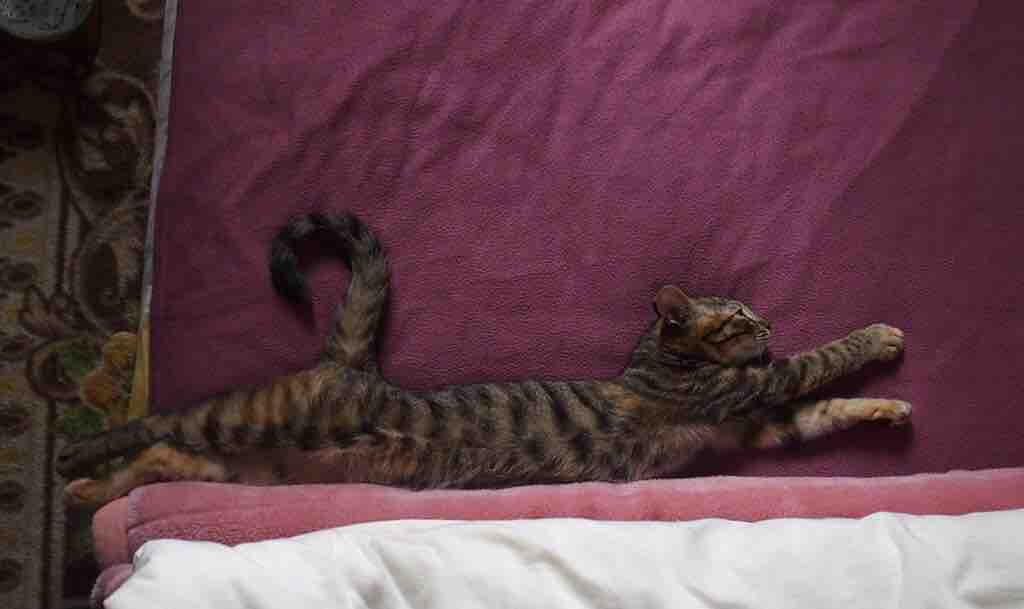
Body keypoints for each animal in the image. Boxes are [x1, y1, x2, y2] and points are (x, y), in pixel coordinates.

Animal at [58, 211, 910, 509]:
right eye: (736, 316)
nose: (767, 319)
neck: (651, 361)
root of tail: (351, 362)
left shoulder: (750, 424)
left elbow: (823, 412)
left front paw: (889, 404)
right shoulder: (746, 391)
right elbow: (824, 359)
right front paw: (880, 337)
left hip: (251, 467)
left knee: (164, 458)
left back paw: (84, 492)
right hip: (252, 417)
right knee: (160, 424)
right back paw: (76, 451)